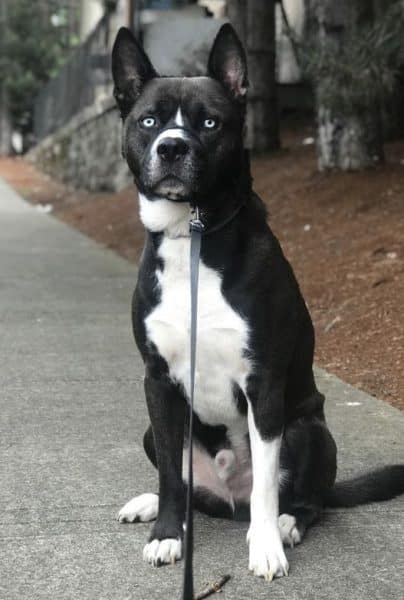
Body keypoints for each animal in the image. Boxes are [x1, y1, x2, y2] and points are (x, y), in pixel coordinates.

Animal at [111, 24, 404, 580]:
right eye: (149, 120)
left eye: (209, 122)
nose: (172, 147)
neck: (193, 239)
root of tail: (230, 497)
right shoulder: (157, 380)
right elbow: (171, 477)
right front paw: (167, 534)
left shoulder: (263, 383)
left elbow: (268, 481)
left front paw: (266, 545)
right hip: (153, 429)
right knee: (187, 488)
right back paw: (150, 505)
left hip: (308, 429)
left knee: (307, 498)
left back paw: (288, 523)